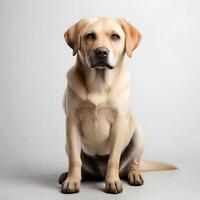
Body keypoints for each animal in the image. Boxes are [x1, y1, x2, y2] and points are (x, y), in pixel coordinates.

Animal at [58, 17, 177, 194]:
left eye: (115, 36)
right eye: (90, 36)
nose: (101, 52)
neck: (99, 83)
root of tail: (99, 172)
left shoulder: (119, 122)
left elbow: (113, 159)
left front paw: (113, 182)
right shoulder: (72, 122)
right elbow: (74, 159)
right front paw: (72, 181)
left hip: (138, 135)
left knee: (133, 163)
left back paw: (134, 175)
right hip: (67, 143)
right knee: (82, 164)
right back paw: (71, 175)